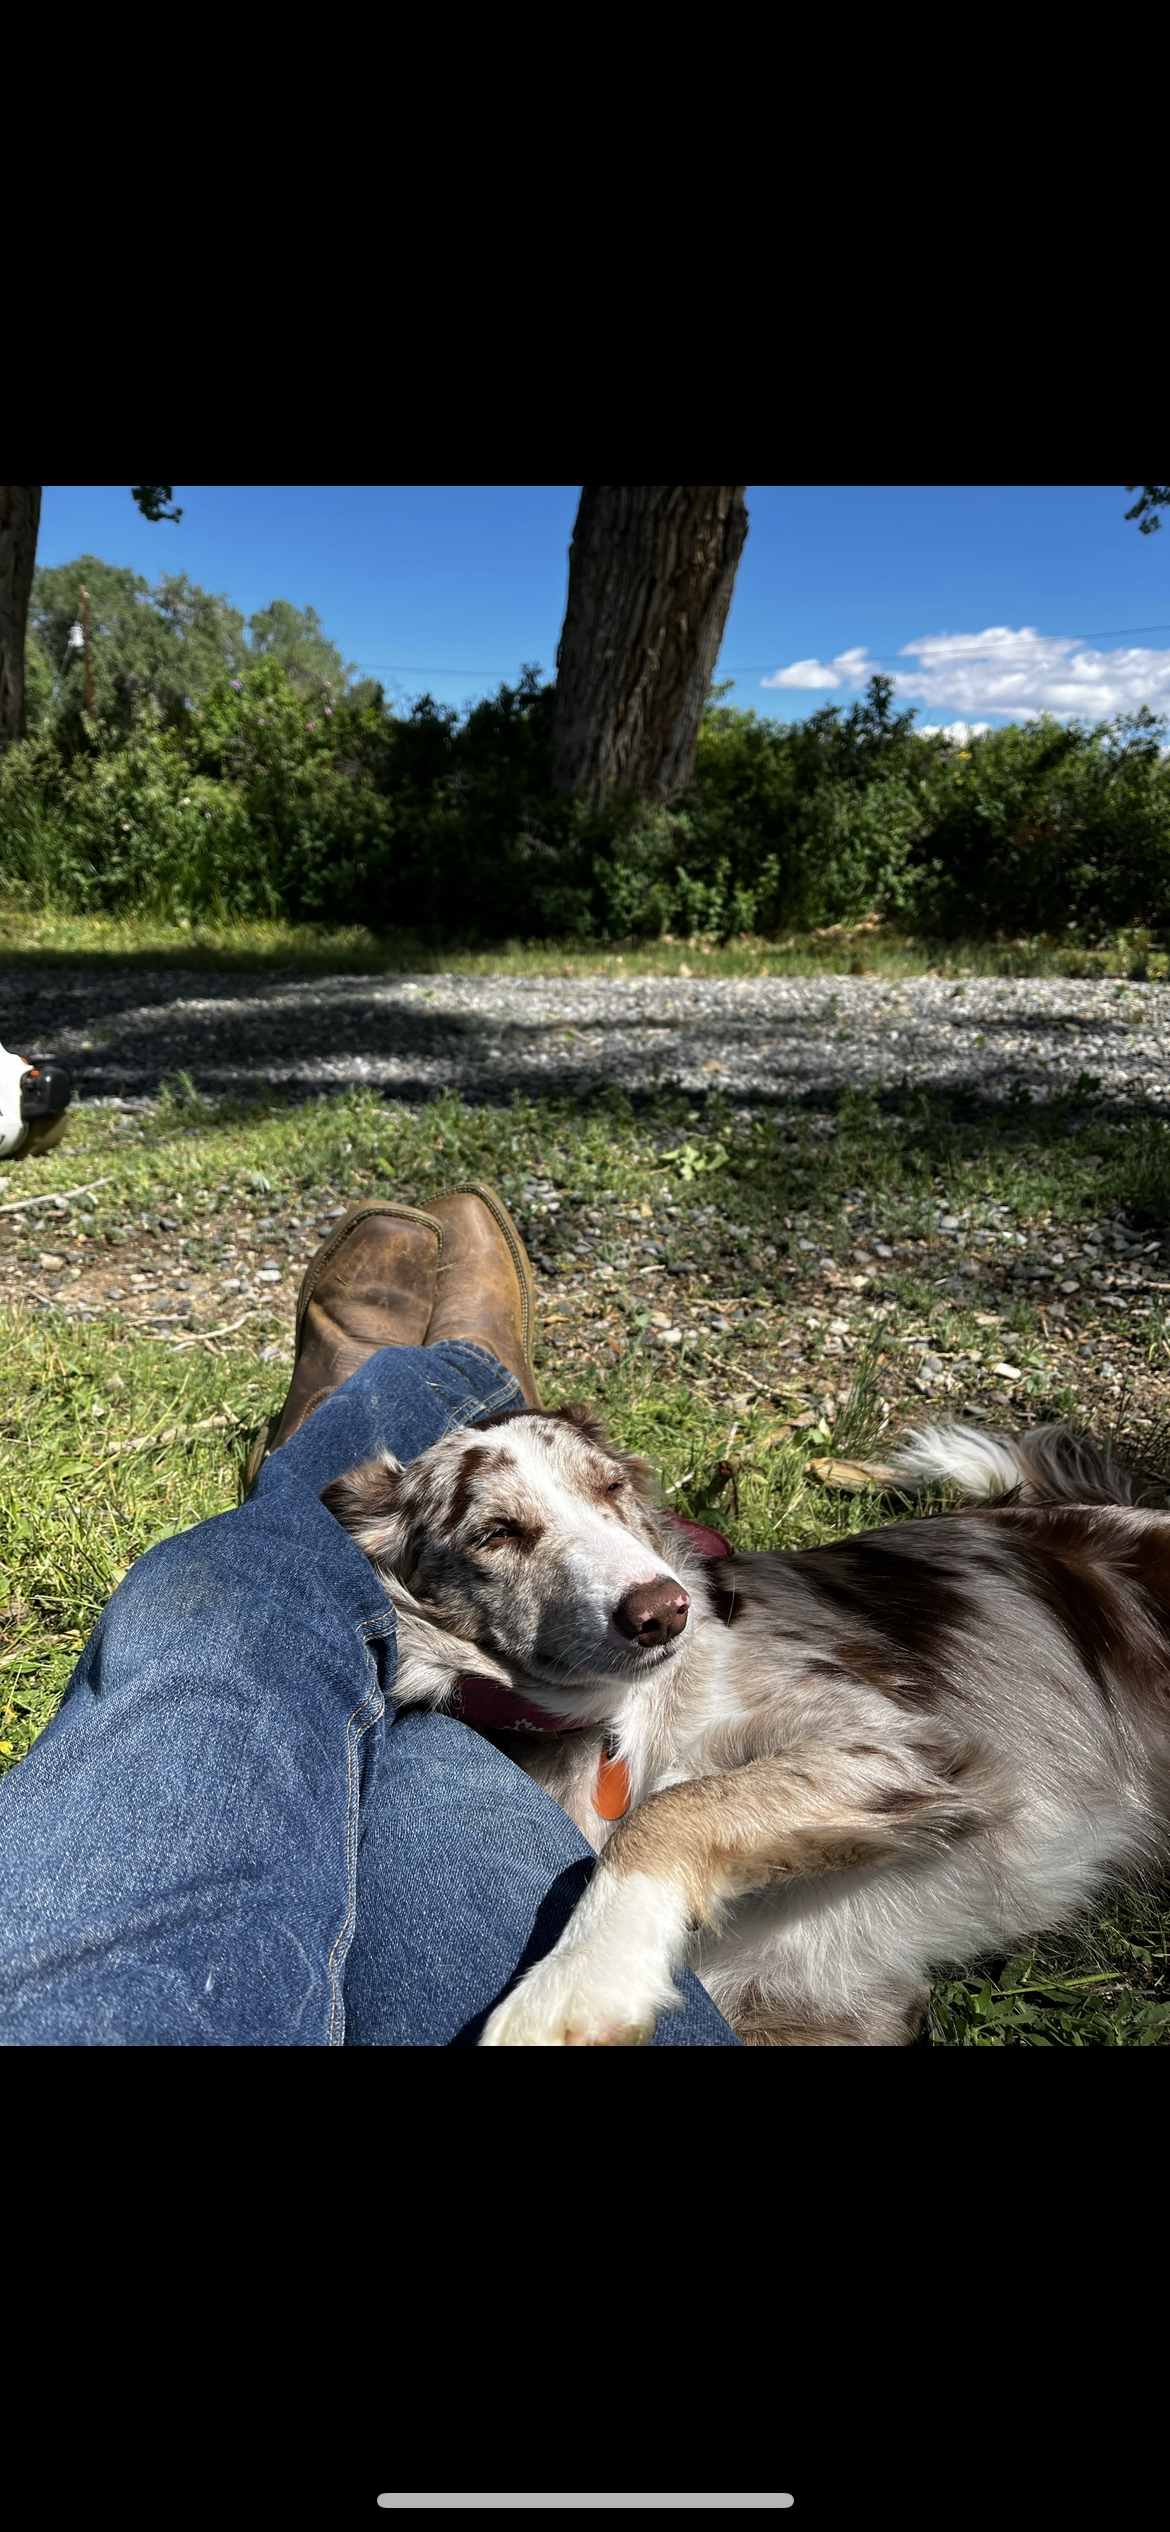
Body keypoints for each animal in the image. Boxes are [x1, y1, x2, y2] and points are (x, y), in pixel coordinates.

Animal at [320, 1417, 1170, 2045]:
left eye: (610, 1488)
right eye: (497, 1532)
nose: (662, 1610)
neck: (621, 1724)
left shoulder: (909, 1743)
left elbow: (674, 1808)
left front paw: (581, 1977)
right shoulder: (820, 2006)